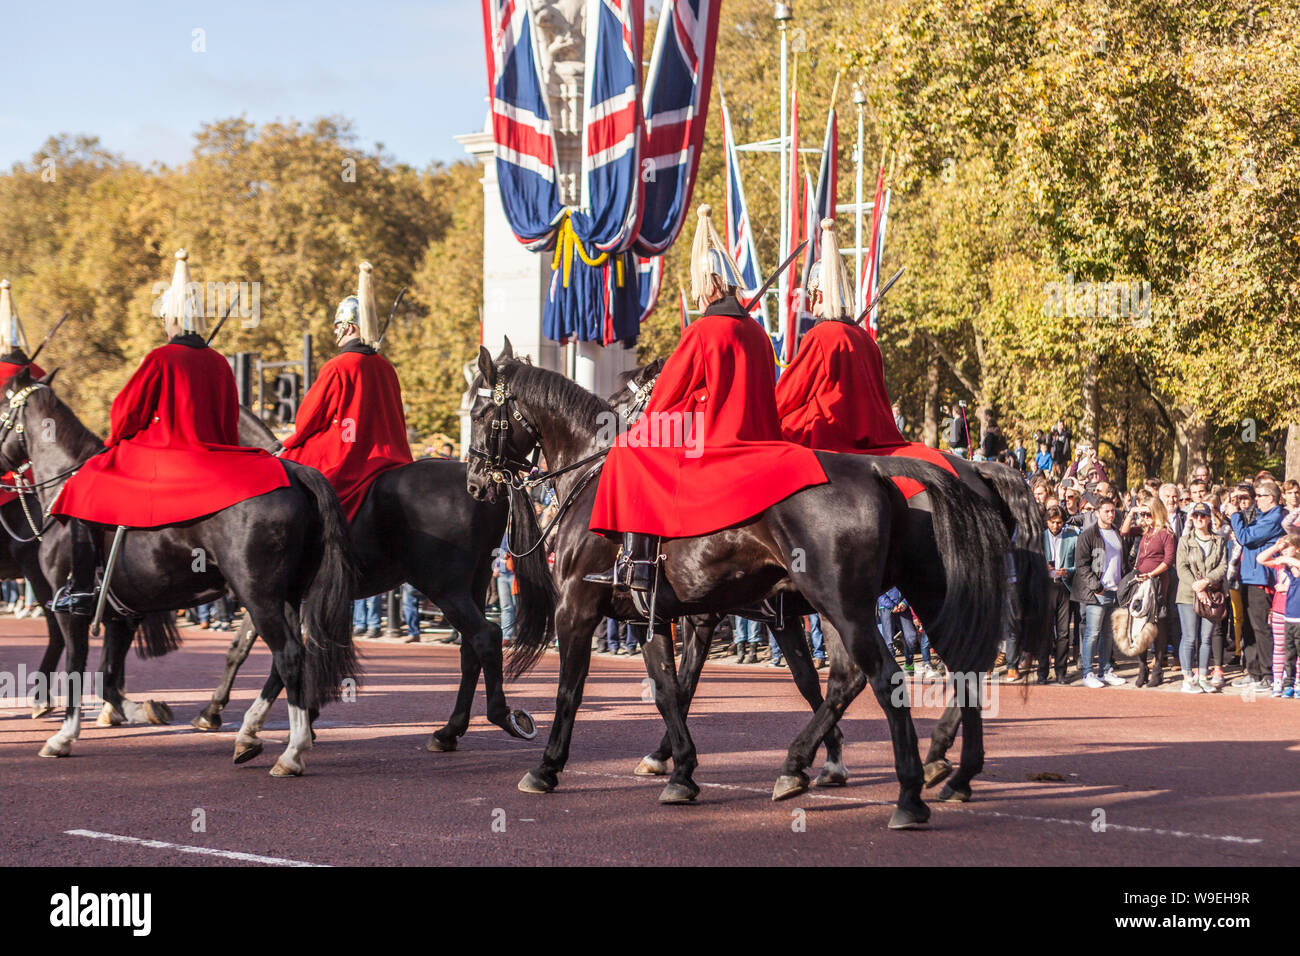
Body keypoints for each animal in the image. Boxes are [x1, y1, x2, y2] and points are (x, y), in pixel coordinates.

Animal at [0, 369, 358, 775]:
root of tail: (297, 473)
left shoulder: (70, 608)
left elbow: (78, 667)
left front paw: (63, 737)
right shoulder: (122, 615)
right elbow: (108, 676)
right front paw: (142, 710)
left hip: (258, 596)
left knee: (289, 655)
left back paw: (291, 752)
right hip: (289, 595)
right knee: (285, 661)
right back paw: (249, 734)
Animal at [180, 405, 546, 754]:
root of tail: (486, 484)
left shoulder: (266, 590)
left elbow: (260, 649)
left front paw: (217, 711)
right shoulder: (281, 594)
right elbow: (257, 647)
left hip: (444, 587)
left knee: (485, 636)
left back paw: (498, 716)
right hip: (474, 582)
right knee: (471, 647)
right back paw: (448, 731)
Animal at [462, 345, 1008, 832]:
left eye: (481, 411)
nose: (473, 482)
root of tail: (876, 469)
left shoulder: (580, 607)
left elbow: (572, 691)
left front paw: (548, 766)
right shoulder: (659, 617)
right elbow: (671, 689)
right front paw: (681, 769)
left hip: (851, 604)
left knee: (887, 677)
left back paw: (911, 792)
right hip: (901, 598)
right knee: (923, 669)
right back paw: (938, 773)